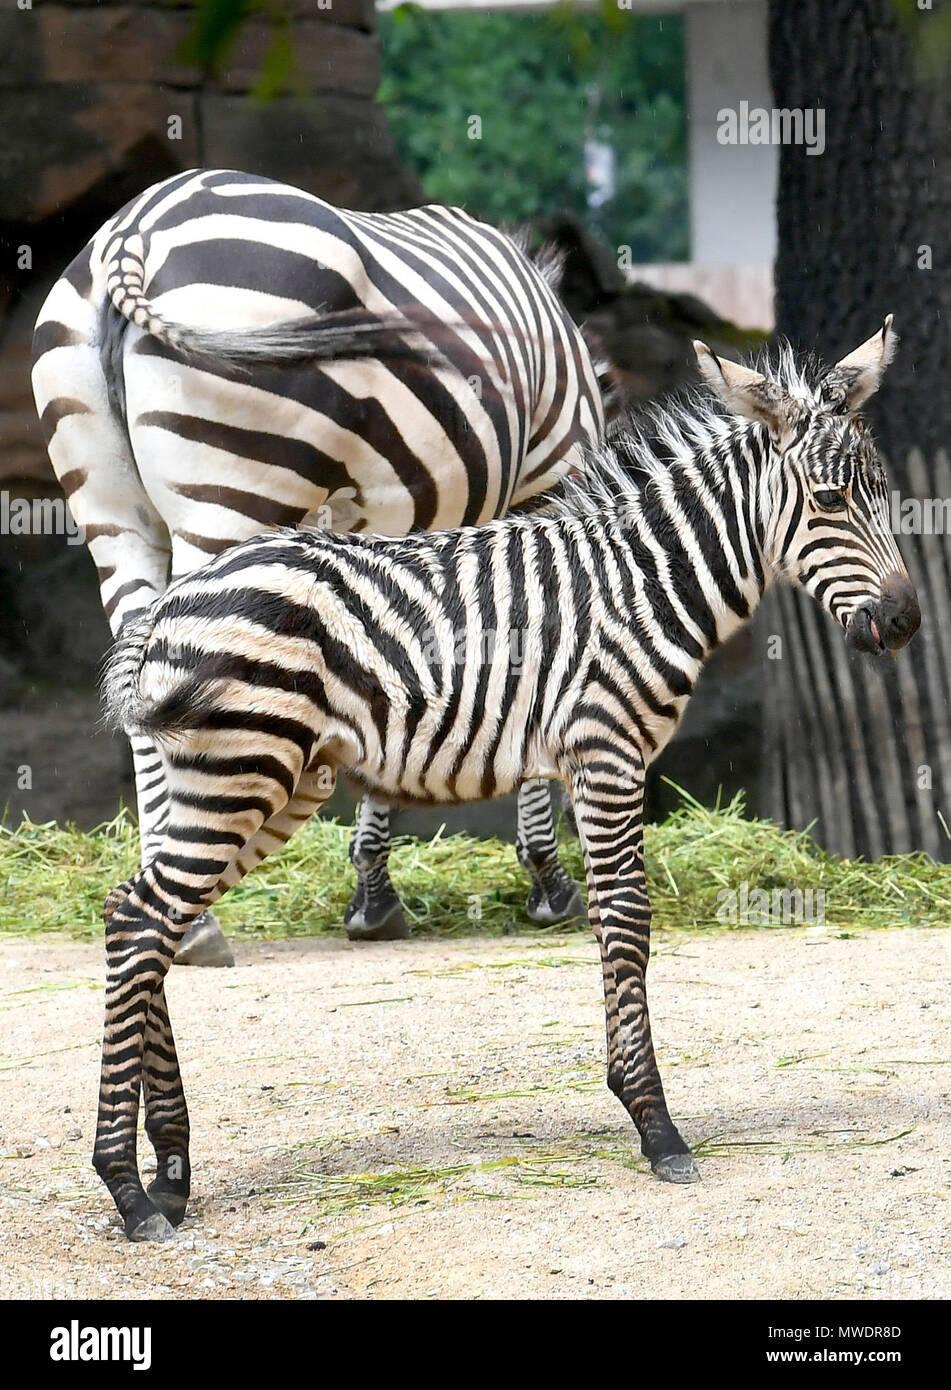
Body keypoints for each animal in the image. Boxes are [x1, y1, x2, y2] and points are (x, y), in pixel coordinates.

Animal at [33, 168, 606, 961]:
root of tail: (133, 228)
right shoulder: (536, 496)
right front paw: (544, 881)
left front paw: (372, 891)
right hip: (233, 489)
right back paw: (197, 912)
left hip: (108, 508)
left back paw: (175, 896)